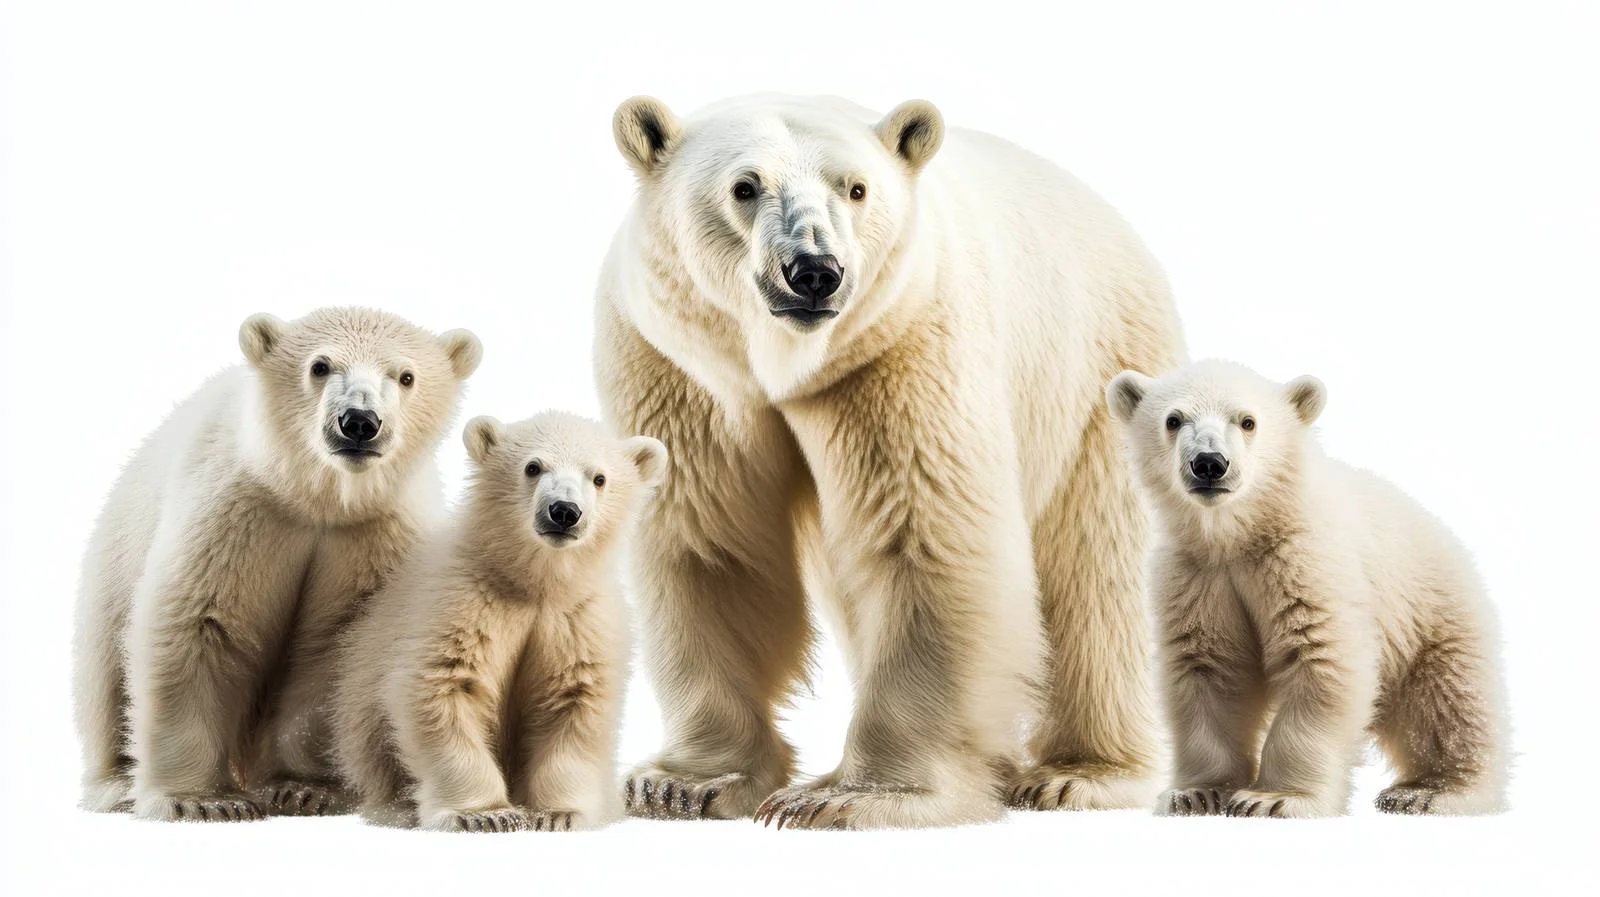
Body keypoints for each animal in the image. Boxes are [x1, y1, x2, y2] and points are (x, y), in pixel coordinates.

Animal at [73, 307, 482, 821]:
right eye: (320, 366)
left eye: (406, 376)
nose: (359, 421)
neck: (316, 499)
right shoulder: (237, 512)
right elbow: (199, 627)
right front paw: (201, 801)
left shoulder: (372, 535)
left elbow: (336, 649)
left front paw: (305, 789)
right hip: (114, 555)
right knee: (105, 674)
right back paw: (116, 784)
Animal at [330, 412, 664, 832]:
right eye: (533, 467)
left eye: (599, 478)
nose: (564, 511)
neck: (534, 584)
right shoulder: (465, 600)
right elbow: (444, 687)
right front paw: (482, 814)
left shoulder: (577, 619)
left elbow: (574, 700)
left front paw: (557, 813)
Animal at [595, 93, 1185, 828]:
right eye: (744, 187)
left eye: (856, 188)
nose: (815, 272)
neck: (783, 364)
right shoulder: (680, 369)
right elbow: (711, 545)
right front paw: (685, 783)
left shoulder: (900, 345)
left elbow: (924, 535)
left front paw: (850, 795)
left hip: (1097, 374)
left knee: (1097, 566)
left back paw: (1076, 774)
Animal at [1106, 360, 1509, 817]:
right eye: (1173, 420)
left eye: (1247, 421)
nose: (1209, 463)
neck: (1243, 534)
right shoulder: (1198, 575)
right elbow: (1208, 669)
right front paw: (1196, 793)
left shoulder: (1305, 561)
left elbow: (1318, 658)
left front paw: (1273, 798)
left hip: (1434, 614)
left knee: (1449, 703)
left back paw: (1429, 792)